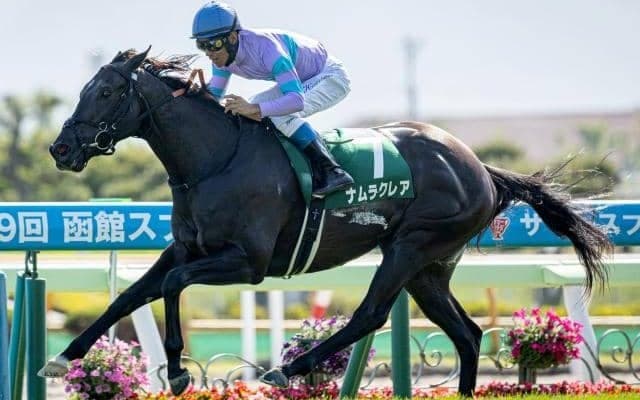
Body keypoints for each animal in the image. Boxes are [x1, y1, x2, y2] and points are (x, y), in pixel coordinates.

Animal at [43, 47, 612, 397]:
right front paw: (64, 357)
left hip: (411, 246)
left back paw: (287, 368)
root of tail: (481, 169)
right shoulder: (185, 248)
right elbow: (129, 295)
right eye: (86, 88)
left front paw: (180, 371)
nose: (61, 148)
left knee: (370, 315)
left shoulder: (247, 263)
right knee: (467, 334)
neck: (215, 160)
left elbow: (173, 286)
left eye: (107, 93)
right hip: (429, 268)